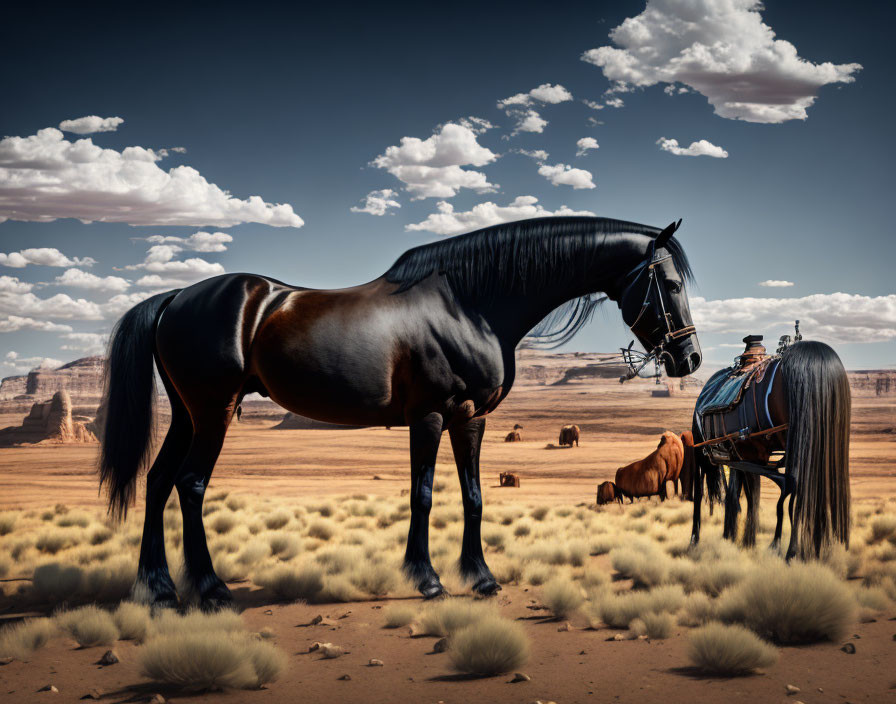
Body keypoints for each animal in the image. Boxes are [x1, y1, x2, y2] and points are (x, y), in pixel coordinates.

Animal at [98, 217, 700, 608]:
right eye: (669, 284)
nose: (688, 358)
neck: (470, 304)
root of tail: (175, 297)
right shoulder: (430, 415)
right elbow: (424, 495)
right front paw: (428, 579)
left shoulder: (471, 417)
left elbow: (474, 496)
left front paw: (481, 578)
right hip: (212, 411)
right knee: (190, 484)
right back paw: (209, 589)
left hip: (186, 414)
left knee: (158, 481)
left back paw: (158, 588)